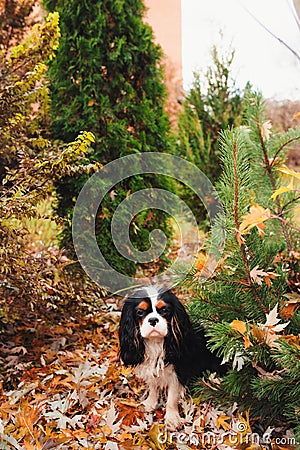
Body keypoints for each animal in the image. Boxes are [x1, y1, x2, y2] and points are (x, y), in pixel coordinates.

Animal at [118, 284, 224, 428]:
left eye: (164, 310)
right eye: (140, 312)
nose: (153, 320)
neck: (156, 343)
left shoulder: (178, 373)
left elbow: (172, 398)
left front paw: (172, 418)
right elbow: (153, 386)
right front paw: (150, 403)